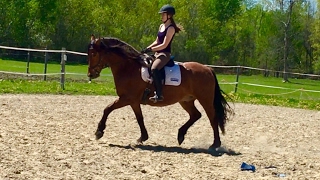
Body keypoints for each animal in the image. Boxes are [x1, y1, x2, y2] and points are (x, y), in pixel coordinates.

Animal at [87, 35, 232, 149]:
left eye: (93, 54)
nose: (90, 74)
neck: (129, 68)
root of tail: (208, 69)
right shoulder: (133, 101)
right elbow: (139, 118)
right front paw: (143, 137)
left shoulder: (126, 98)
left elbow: (107, 109)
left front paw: (99, 132)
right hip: (186, 100)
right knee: (195, 115)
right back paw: (180, 135)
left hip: (205, 99)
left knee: (212, 118)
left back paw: (215, 144)